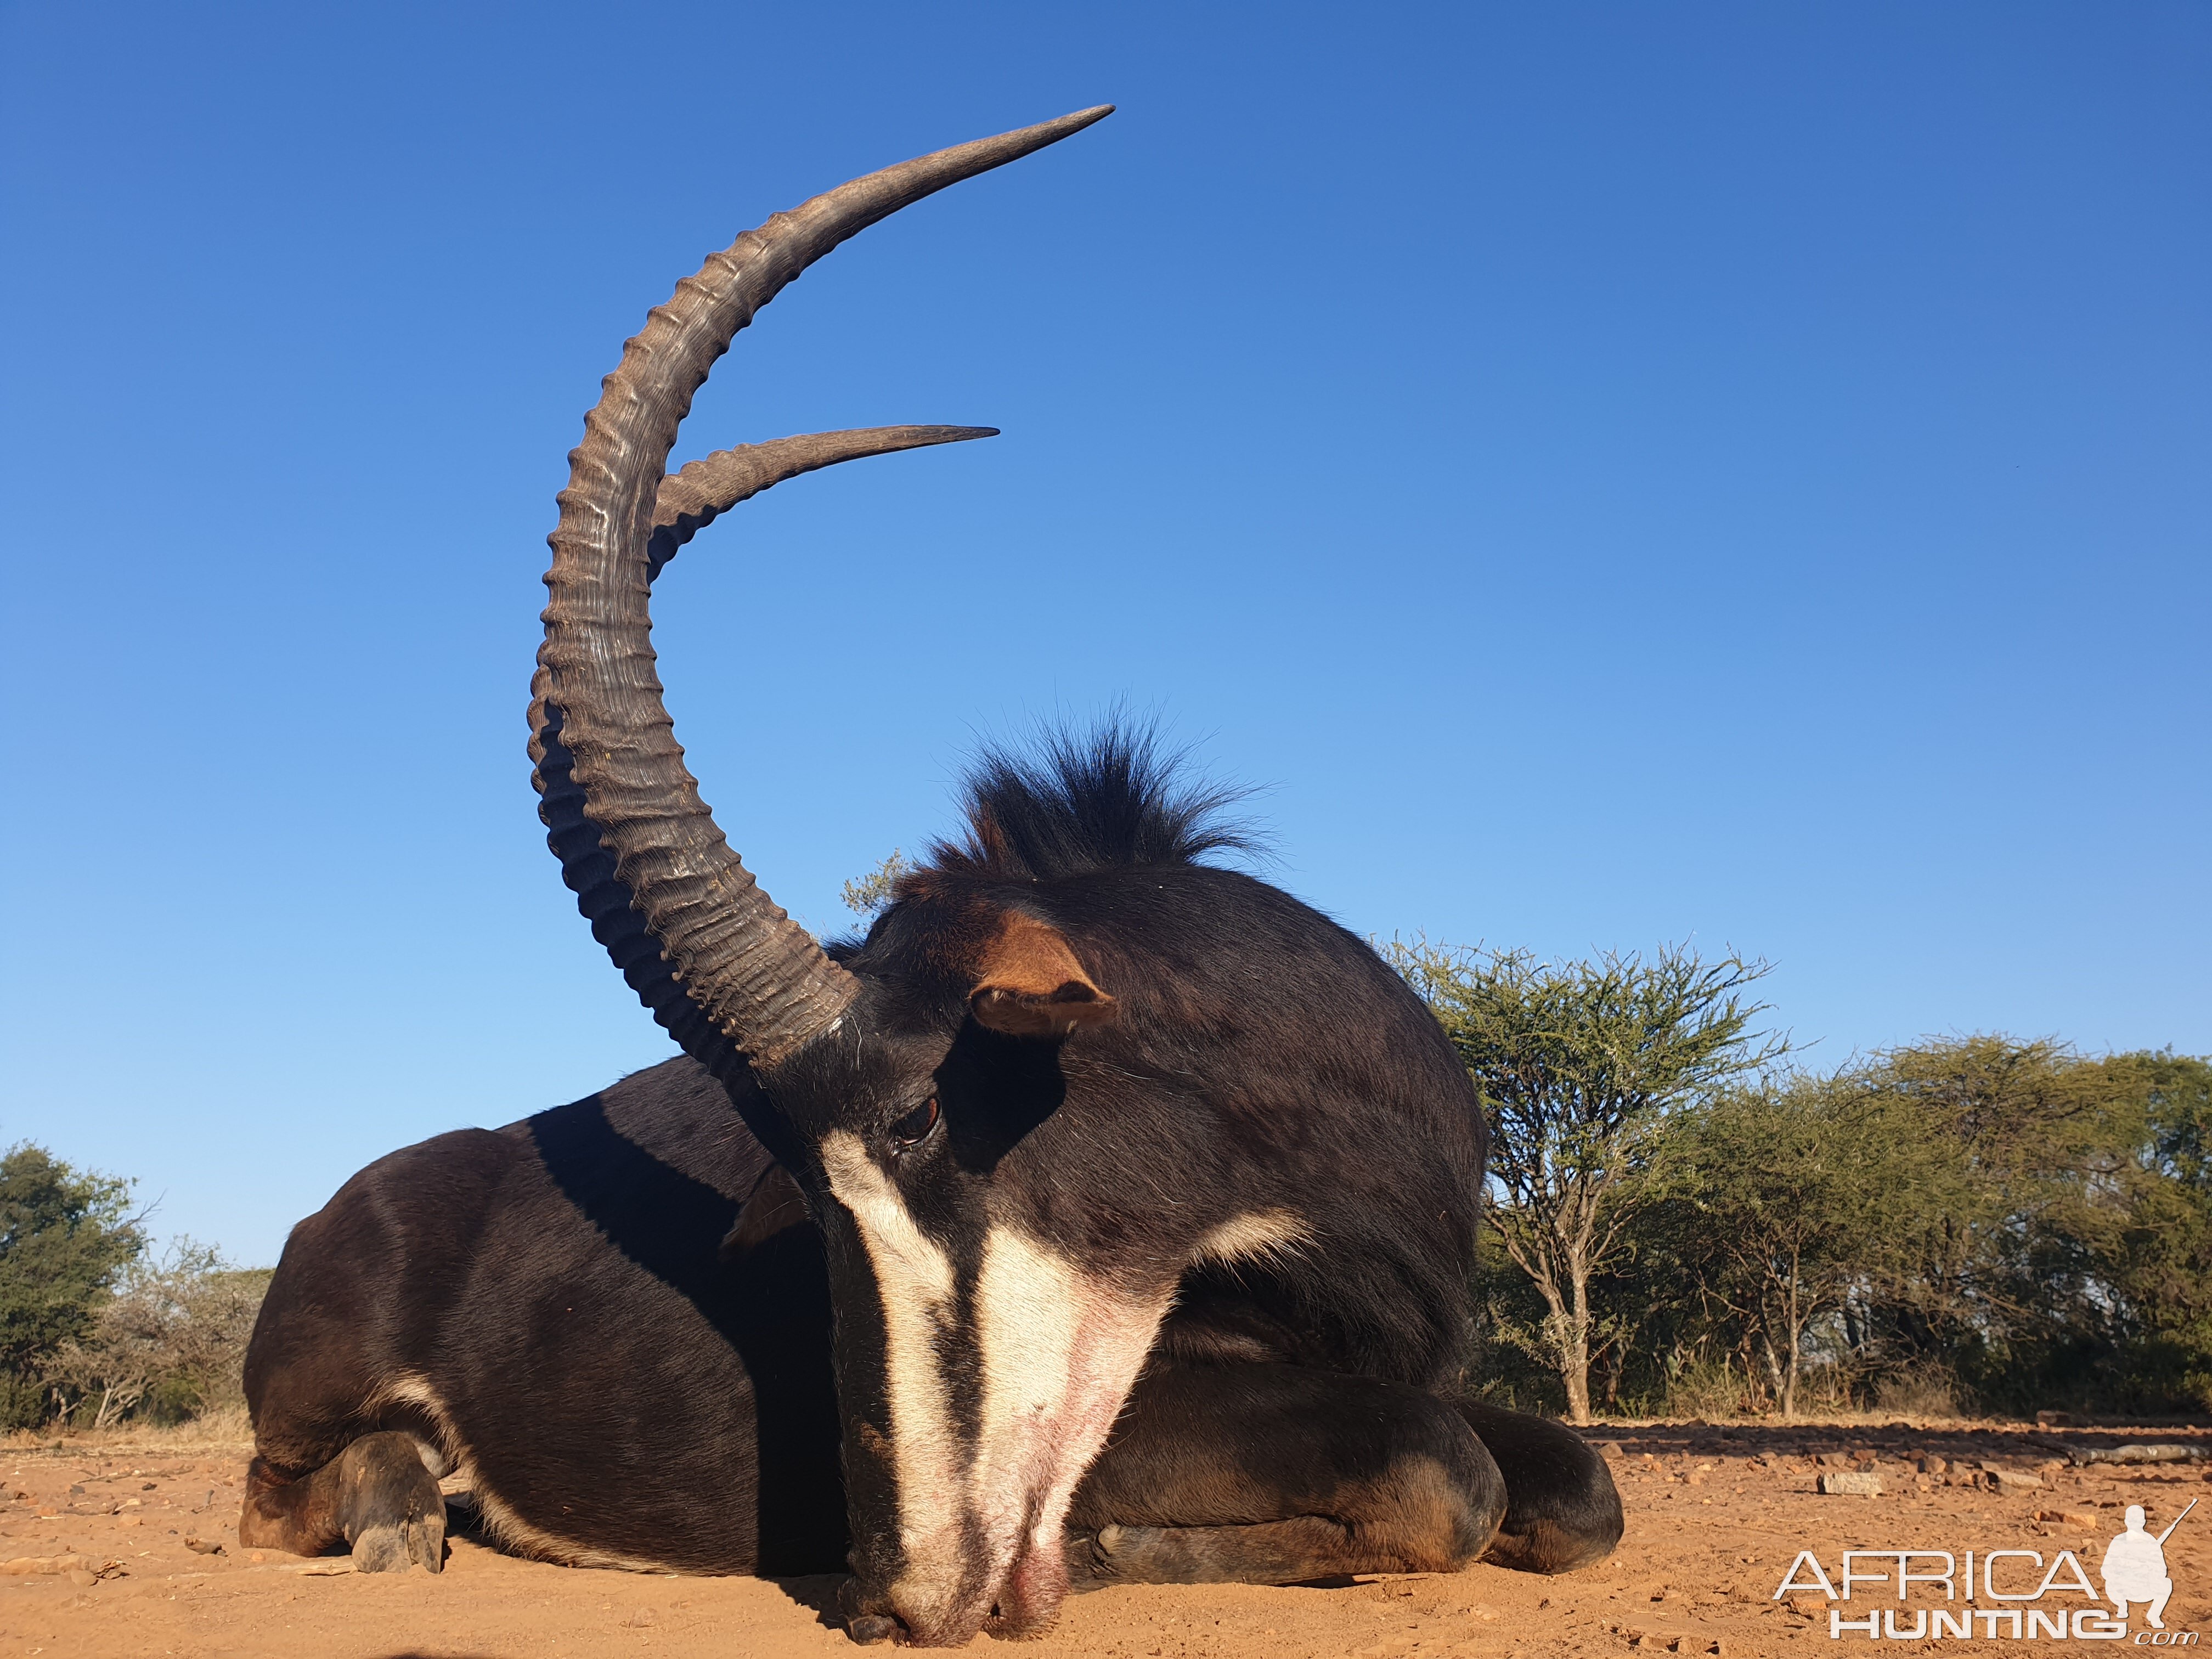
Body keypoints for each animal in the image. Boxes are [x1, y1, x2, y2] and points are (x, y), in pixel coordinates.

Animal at [242, 107, 1628, 1654]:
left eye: (915, 1117)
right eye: (800, 1179)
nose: (895, 1591)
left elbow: (1578, 1486)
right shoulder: (1178, 1403)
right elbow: (1447, 1476)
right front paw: (1123, 1548)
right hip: (302, 1404)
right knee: (280, 1492)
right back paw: (399, 1512)